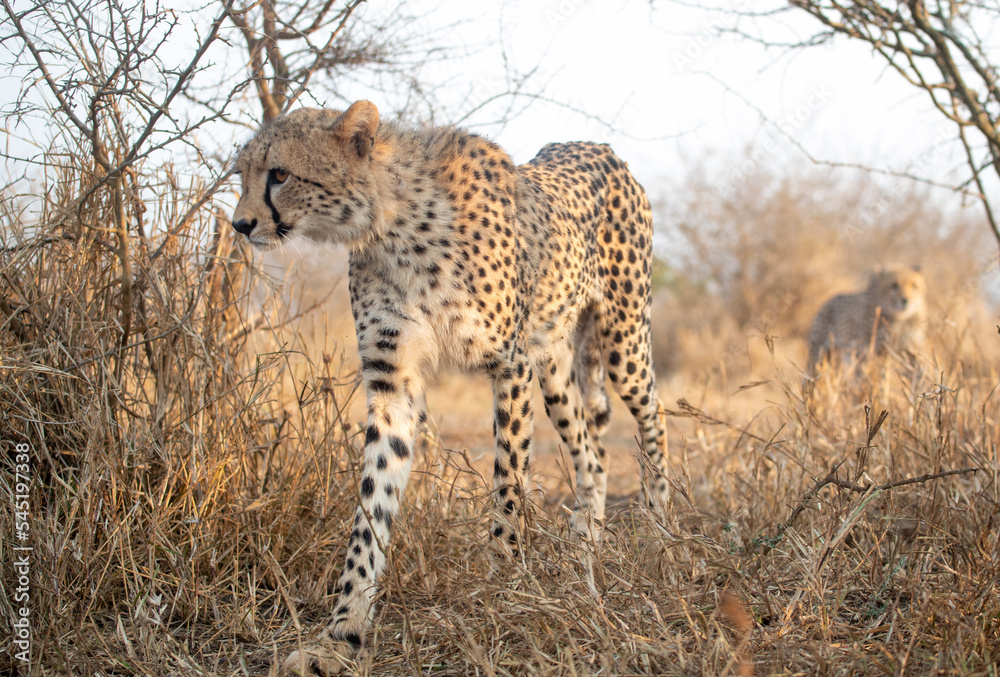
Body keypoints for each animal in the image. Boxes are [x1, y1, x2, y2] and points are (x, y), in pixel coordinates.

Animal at [232, 99, 672, 672]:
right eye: (242, 174)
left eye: (280, 174)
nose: (240, 224)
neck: (392, 225)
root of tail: (597, 145)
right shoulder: (393, 383)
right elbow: (372, 509)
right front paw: (341, 636)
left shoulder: (509, 365)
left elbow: (508, 487)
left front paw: (505, 593)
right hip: (553, 364)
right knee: (591, 457)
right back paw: (583, 554)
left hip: (623, 340)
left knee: (654, 417)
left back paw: (661, 532)